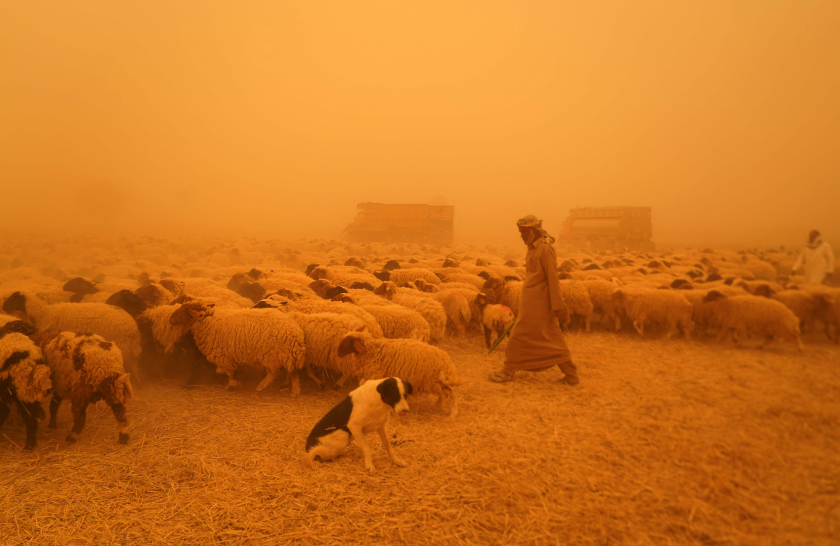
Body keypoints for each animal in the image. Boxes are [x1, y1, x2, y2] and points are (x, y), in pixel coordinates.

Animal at [167, 300, 306, 394]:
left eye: (182, 310)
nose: (170, 320)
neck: (207, 321)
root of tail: (296, 331)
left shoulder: (223, 356)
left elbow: (227, 373)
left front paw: (232, 384)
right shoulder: (227, 356)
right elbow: (222, 372)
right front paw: (231, 383)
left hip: (271, 355)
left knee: (278, 373)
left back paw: (285, 390)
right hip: (284, 355)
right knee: (288, 371)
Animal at [336, 330, 466, 414]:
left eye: (347, 343)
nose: (338, 354)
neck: (372, 351)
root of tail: (447, 361)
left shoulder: (374, 374)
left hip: (434, 382)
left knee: (451, 395)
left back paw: (452, 413)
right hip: (438, 383)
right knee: (445, 394)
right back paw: (438, 406)